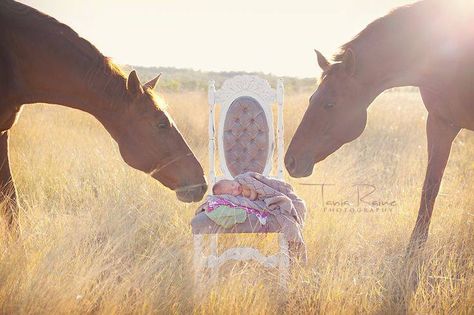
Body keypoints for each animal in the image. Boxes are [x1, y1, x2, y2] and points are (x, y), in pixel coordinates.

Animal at [286, 0, 474, 252]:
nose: (290, 161)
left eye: (330, 104)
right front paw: (413, 250)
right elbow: (430, 187)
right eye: (311, 99)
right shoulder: (440, 123)